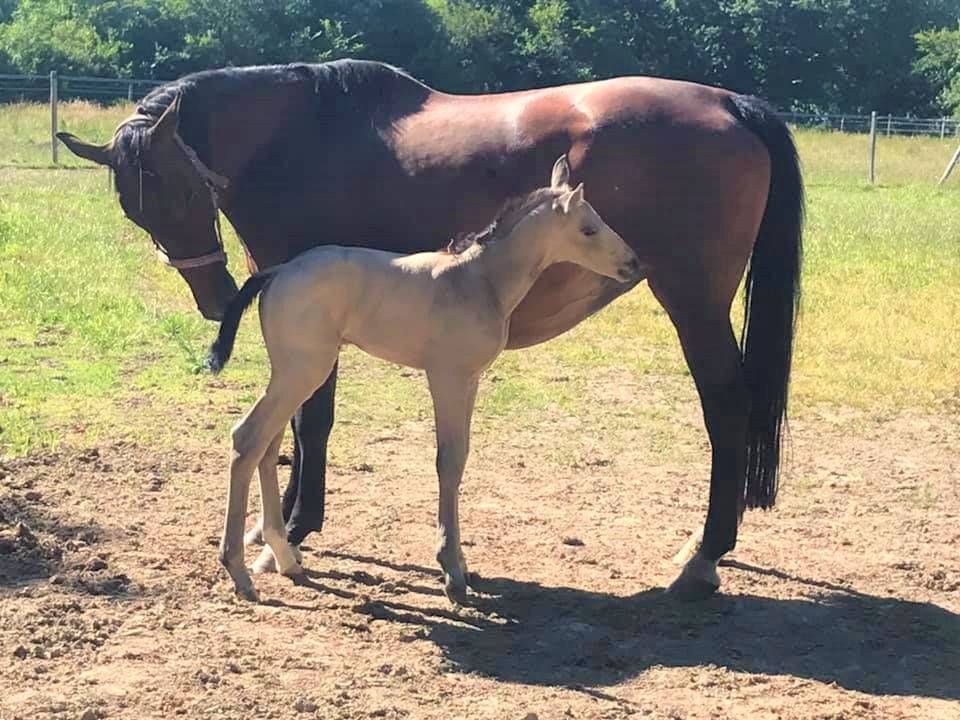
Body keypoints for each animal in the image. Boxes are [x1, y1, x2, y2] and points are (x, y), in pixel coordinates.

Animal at [207, 157, 642, 602]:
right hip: (304, 371)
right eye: (588, 228)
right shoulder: (446, 377)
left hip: (292, 373)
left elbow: (461, 457)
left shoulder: (470, 380)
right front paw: (452, 571)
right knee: (248, 438)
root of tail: (278, 271)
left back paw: (284, 557)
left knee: (267, 445)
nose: (632, 262)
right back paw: (238, 571)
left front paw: (460, 565)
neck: (476, 281)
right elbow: (447, 460)